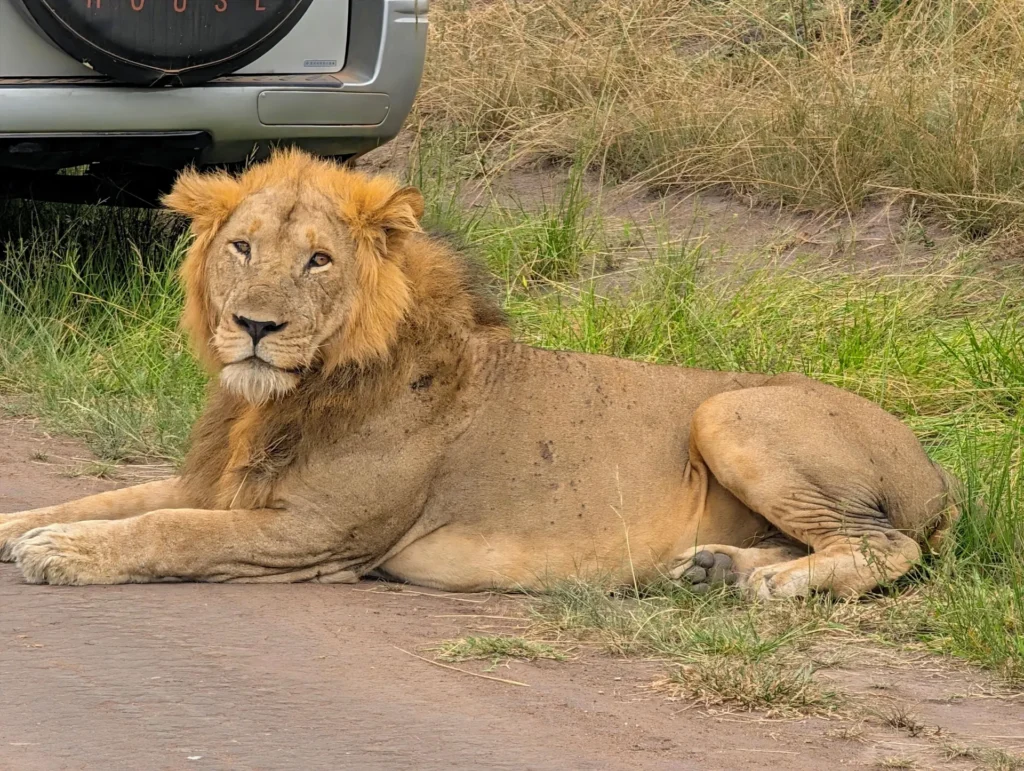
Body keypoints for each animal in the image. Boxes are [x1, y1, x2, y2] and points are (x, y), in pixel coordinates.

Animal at [0, 149, 960, 598]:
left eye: (318, 260)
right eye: (242, 246)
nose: (255, 327)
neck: (283, 397)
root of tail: (940, 472)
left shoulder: (316, 534)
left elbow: (170, 529)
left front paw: (66, 553)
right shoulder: (217, 480)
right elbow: (108, 497)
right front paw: (26, 526)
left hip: (728, 413)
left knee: (886, 543)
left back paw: (773, 581)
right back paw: (713, 567)